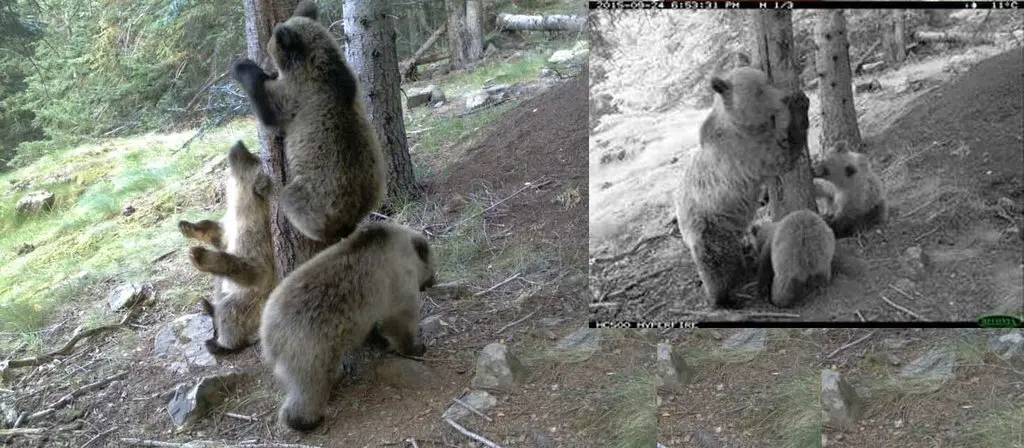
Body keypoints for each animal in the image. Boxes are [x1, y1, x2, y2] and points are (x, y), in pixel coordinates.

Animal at [179, 141, 276, 355]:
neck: (241, 208)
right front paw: (189, 226)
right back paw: (209, 309)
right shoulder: (230, 226)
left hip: (253, 304)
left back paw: (222, 343)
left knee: (229, 312)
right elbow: (217, 233)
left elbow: (253, 267)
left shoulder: (255, 237)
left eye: (252, 157)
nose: (239, 143)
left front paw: (199, 255)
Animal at [231, 0, 386, 244]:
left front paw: (243, 68)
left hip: (315, 199)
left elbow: (268, 110)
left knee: (292, 200)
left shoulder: (295, 94)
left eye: (270, 51)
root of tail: (355, 212)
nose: (266, 65)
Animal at [259, 221, 437, 432]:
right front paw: (415, 347)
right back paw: (306, 420)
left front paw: (381, 341)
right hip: (308, 345)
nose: (433, 282)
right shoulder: (398, 282)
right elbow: (400, 321)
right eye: (433, 266)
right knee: (310, 385)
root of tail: (266, 333)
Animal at [673, 66, 803, 308]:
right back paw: (724, 298)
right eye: (759, 91)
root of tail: (681, 222)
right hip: (711, 227)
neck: (745, 126)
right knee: (718, 265)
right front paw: (800, 107)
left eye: (768, 80)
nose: (784, 97)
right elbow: (781, 158)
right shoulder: (742, 153)